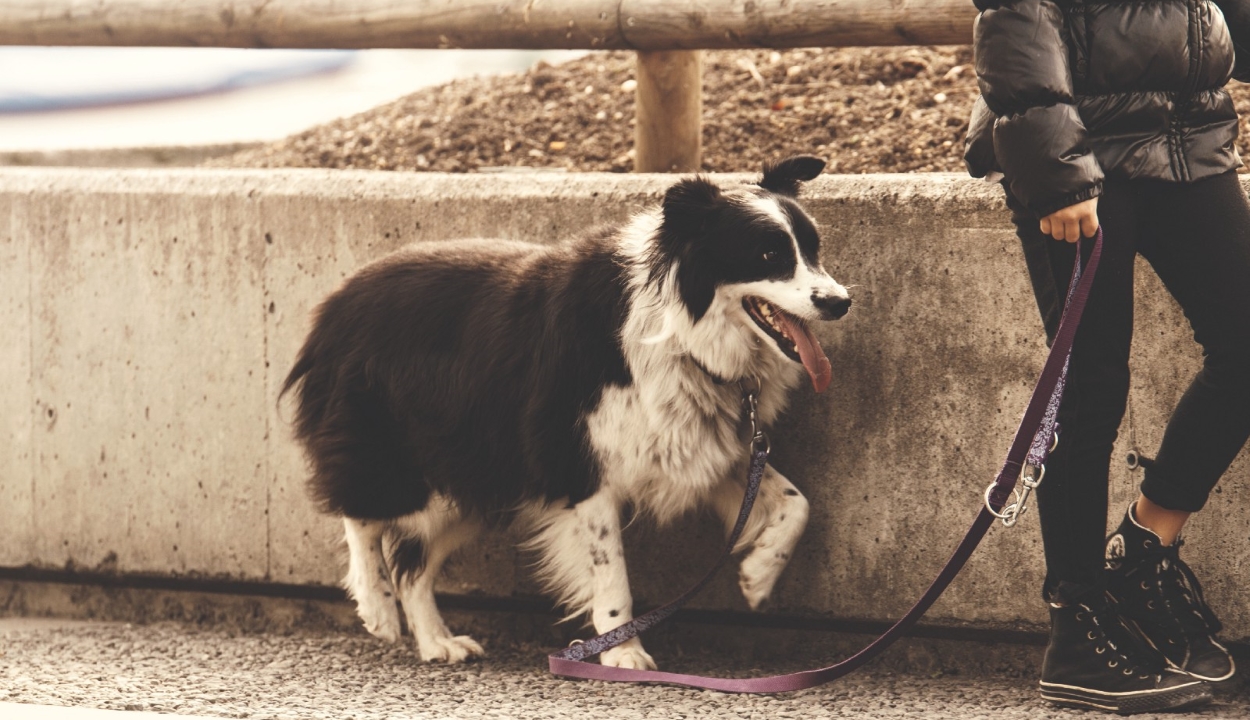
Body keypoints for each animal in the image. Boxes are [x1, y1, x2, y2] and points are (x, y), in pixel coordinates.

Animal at [282, 156, 850, 670]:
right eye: (768, 254)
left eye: (814, 250)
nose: (840, 302)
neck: (680, 331)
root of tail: (332, 306)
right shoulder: (582, 464)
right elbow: (611, 570)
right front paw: (623, 654)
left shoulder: (699, 443)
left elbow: (797, 503)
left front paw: (757, 576)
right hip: (397, 446)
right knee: (360, 513)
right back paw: (377, 607)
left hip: (477, 472)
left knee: (413, 565)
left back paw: (437, 641)